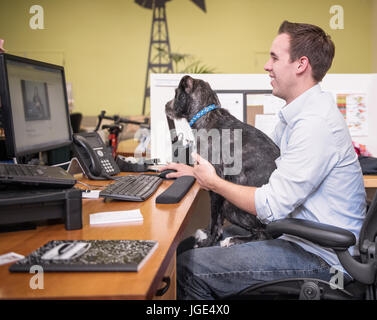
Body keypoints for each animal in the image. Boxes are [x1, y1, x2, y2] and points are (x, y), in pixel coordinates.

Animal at [164, 75, 280, 248]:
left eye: (176, 92)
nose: (166, 105)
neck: (206, 115)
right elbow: (216, 221)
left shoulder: (215, 185)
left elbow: (214, 219)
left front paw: (208, 241)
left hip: (230, 206)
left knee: (263, 234)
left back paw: (233, 240)